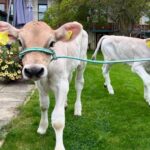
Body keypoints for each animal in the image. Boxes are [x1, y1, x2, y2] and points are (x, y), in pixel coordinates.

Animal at [0, 20, 88, 149]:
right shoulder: (40, 85)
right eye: (20, 42)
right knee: (70, 79)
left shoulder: (61, 85)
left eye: (52, 43)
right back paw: (65, 104)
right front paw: (42, 128)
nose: (34, 70)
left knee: (78, 85)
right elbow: (44, 106)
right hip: (68, 70)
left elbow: (58, 120)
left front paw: (59, 146)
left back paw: (77, 109)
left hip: (82, 63)